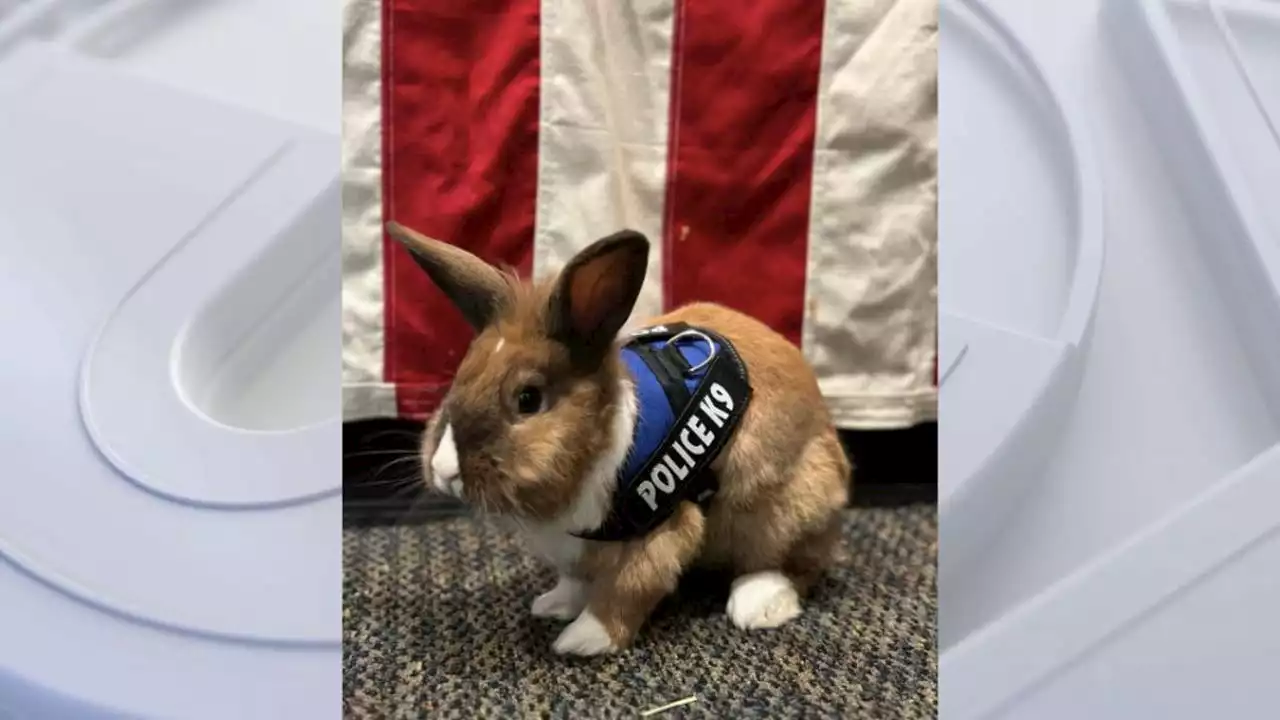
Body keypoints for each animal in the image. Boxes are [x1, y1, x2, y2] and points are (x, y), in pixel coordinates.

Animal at [386, 221, 849, 653]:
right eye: (461, 377)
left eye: (528, 399)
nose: (444, 470)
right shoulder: (573, 550)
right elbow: (575, 581)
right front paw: (553, 605)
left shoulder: (661, 534)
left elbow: (627, 590)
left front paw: (582, 639)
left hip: (783, 508)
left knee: (790, 564)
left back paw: (757, 606)